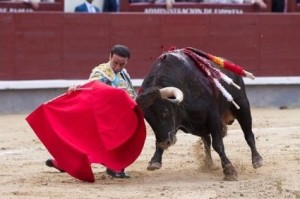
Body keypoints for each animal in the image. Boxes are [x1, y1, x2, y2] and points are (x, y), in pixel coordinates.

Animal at [136, 48, 262, 180]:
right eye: (147, 118)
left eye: (165, 111)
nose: (165, 143)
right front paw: (154, 161)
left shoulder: (213, 117)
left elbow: (218, 144)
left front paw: (229, 170)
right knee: (207, 141)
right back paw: (209, 164)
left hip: (242, 106)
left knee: (248, 134)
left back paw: (257, 160)